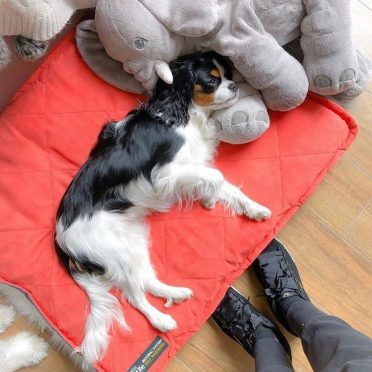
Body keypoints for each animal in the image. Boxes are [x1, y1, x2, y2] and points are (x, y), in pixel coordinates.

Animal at [54, 50, 270, 364]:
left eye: (229, 75)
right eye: (211, 81)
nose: (234, 86)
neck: (183, 113)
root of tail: (60, 239)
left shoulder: (193, 166)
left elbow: (224, 184)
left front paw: (252, 208)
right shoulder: (167, 172)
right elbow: (217, 178)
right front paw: (210, 197)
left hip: (133, 242)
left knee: (146, 281)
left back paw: (176, 293)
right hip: (114, 251)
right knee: (134, 295)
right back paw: (161, 320)